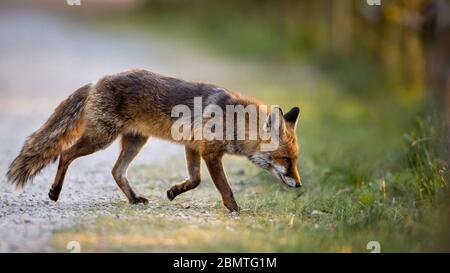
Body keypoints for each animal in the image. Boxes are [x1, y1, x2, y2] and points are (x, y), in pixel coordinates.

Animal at [7, 69, 300, 211]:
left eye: (295, 160)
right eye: (285, 159)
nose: (299, 185)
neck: (234, 120)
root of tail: (97, 80)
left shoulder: (192, 146)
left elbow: (195, 180)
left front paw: (174, 191)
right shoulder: (210, 153)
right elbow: (224, 188)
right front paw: (235, 209)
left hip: (136, 141)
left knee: (116, 171)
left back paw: (134, 199)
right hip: (101, 138)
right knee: (65, 154)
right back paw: (55, 192)